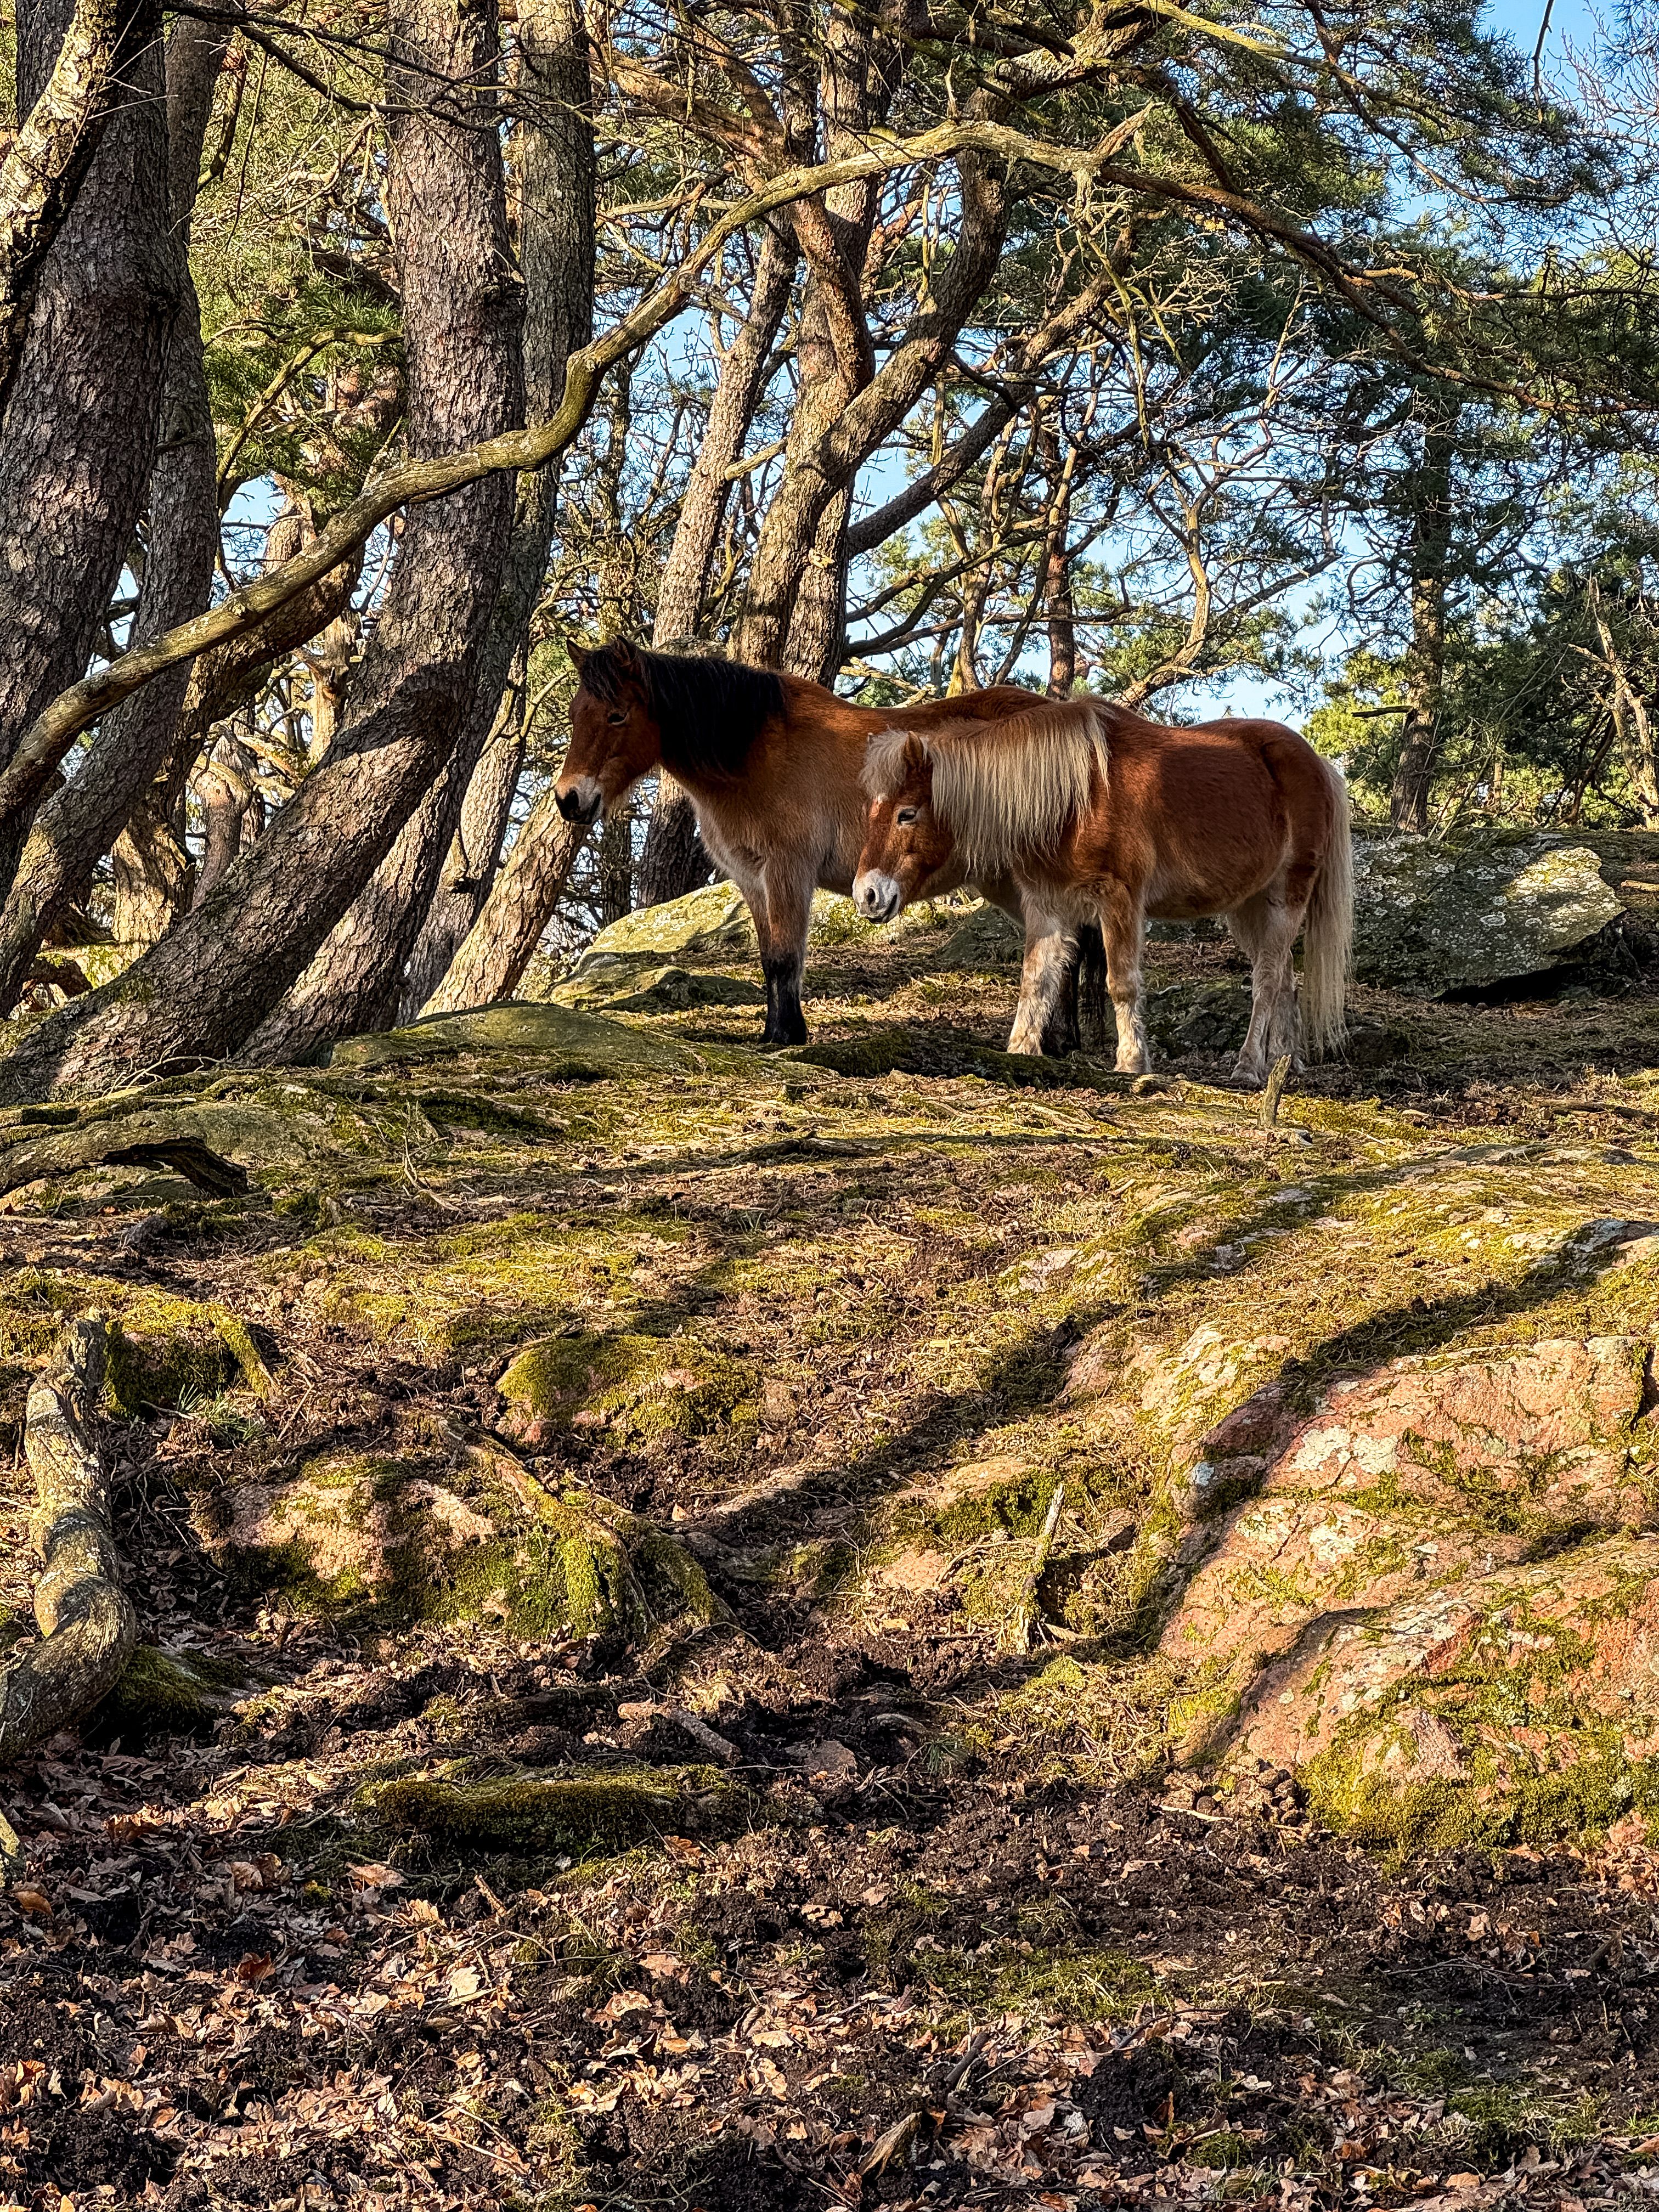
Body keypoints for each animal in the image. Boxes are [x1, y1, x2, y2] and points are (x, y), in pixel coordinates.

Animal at [554, 638, 1099, 1048]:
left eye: (617, 716)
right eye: (576, 714)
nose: (569, 799)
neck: (756, 752)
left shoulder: (788, 871)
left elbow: (785, 956)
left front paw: (786, 1035)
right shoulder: (752, 880)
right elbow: (770, 957)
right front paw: (776, 1030)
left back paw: (1060, 1039)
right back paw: (1061, 1039)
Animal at [852, 698, 1353, 1085]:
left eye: (907, 814)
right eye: (872, 811)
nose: (867, 895)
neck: (1075, 799)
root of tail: (1318, 764)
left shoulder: (1119, 902)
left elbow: (1122, 984)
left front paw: (1132, 1062)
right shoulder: (1048, 908)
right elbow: (1035, 981)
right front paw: (1020, 1051)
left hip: (1285, 898)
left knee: (1267, 981)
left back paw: (1249, 1068)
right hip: (1249, 908)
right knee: (1284, 977)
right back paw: (1284, 1063)